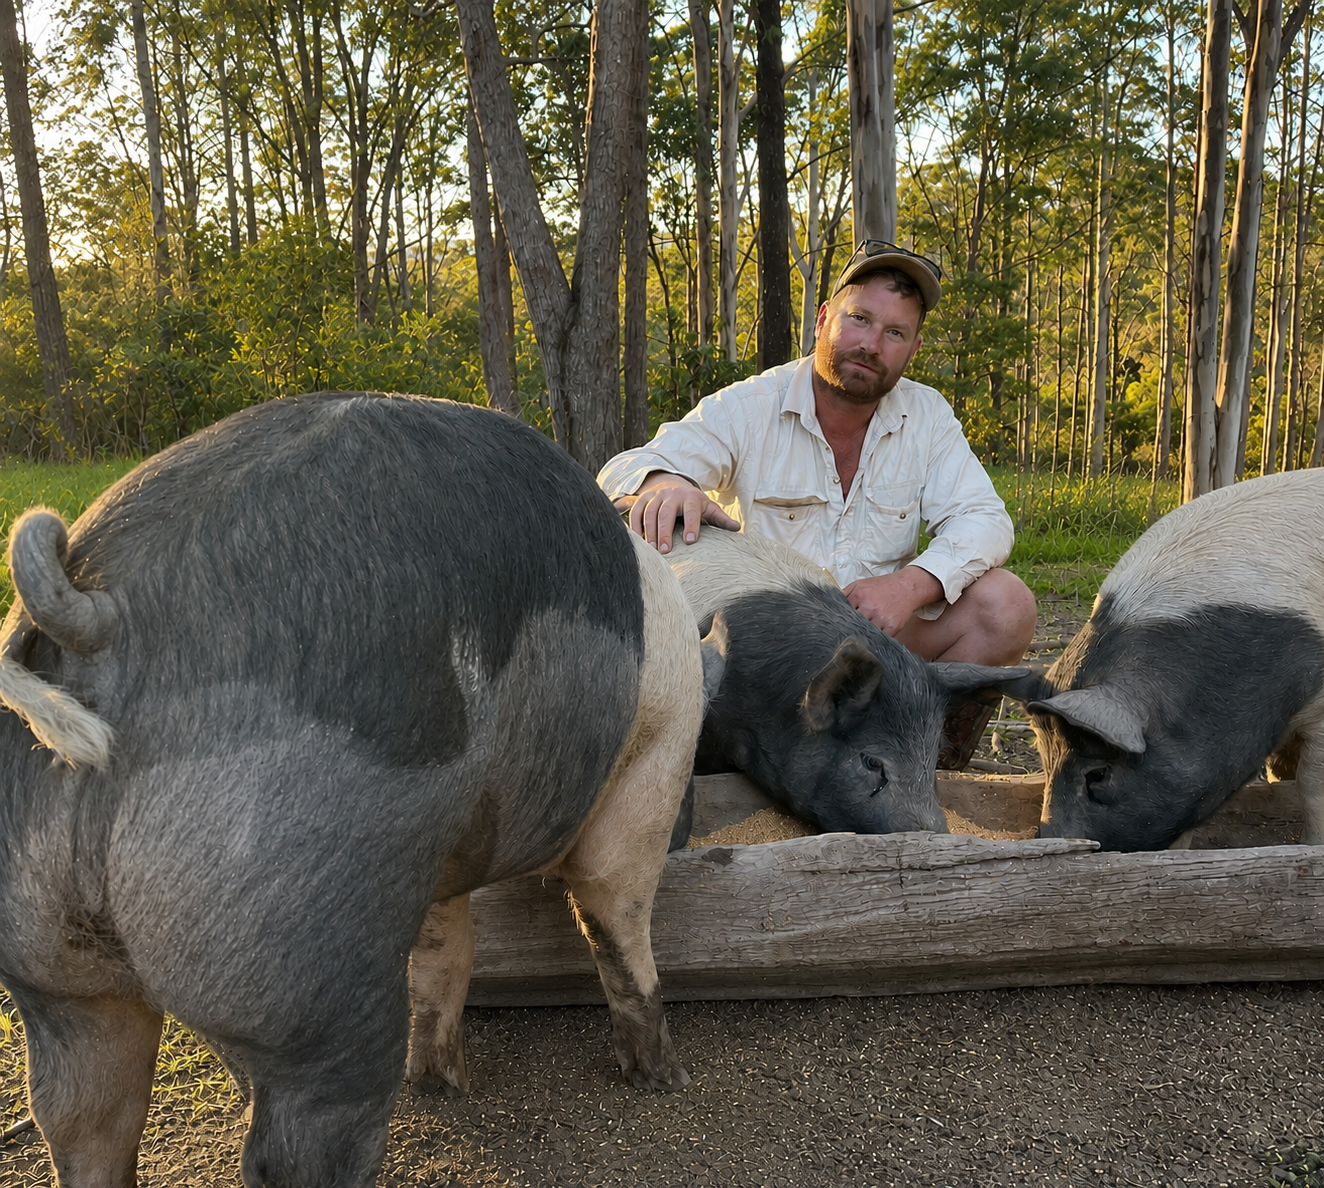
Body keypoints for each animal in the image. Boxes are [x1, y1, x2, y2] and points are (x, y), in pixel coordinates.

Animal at [0, 392, 704, 1188]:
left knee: (80, 1114)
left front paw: (441, 1083)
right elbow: (614, 916)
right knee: (302, 1139)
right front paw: (665, 1081)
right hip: (298, 951)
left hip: (50, 968)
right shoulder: (654, 765)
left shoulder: (440, 860)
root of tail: (102, 617)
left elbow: (446, 951)